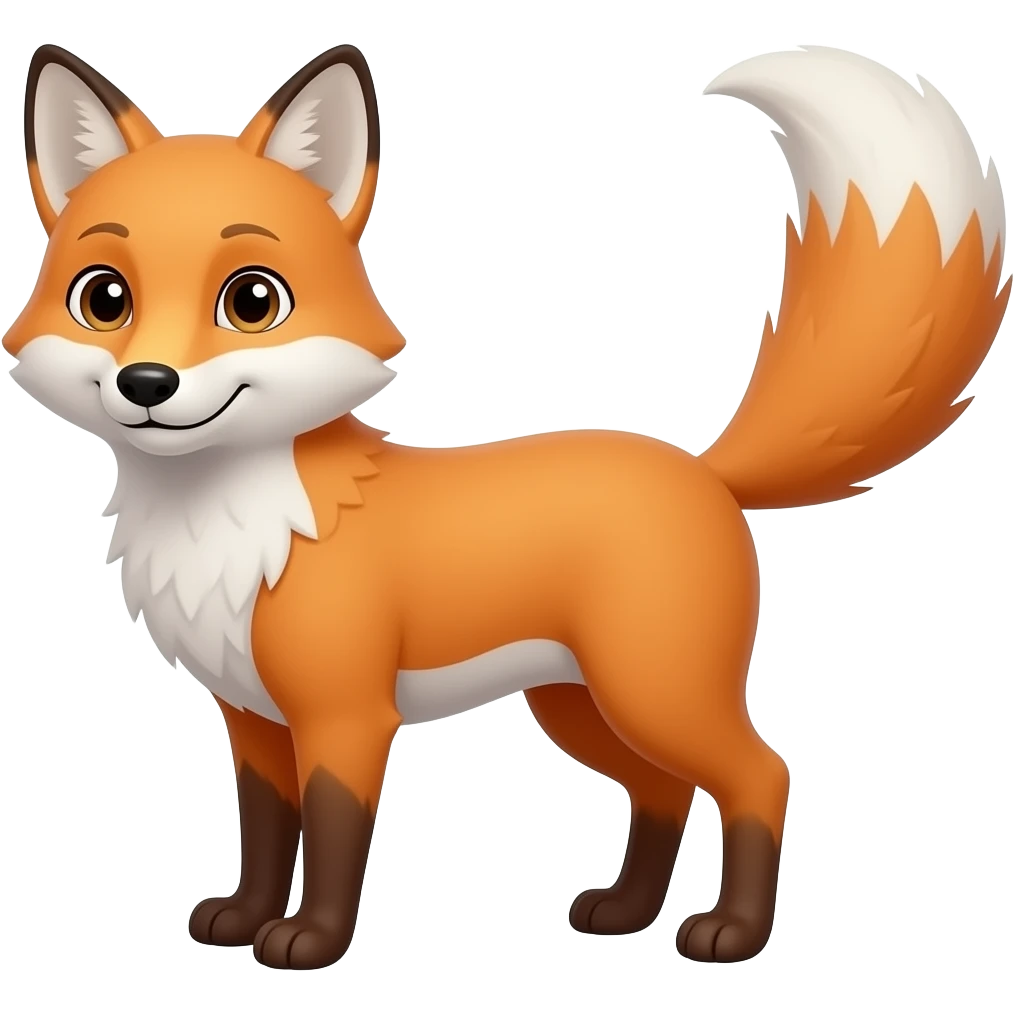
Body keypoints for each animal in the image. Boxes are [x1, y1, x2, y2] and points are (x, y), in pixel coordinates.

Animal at [4, 41, 1008, 971]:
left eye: (252, 300)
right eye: (104, 298)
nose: (147, 383)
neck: (231, 526)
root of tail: (702, 469)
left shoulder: (345, 715)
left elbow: (330, 837)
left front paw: (310, 940)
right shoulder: (252, 719)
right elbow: (264, 831)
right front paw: (244, 920)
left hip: (654, 691)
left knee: (761, 774)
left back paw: (730, 932)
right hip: (580, 706)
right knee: (662, 791)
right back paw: (625, 912)